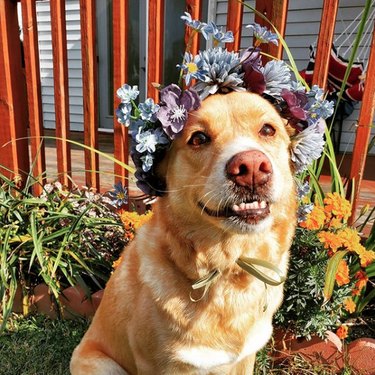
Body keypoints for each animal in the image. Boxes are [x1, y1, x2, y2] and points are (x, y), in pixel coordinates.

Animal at [70, 92, 298, 375]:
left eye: (267, 130)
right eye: (198, 138)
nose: (252, 166)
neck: (228, 268)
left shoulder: (245, 359)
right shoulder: (157, 365)